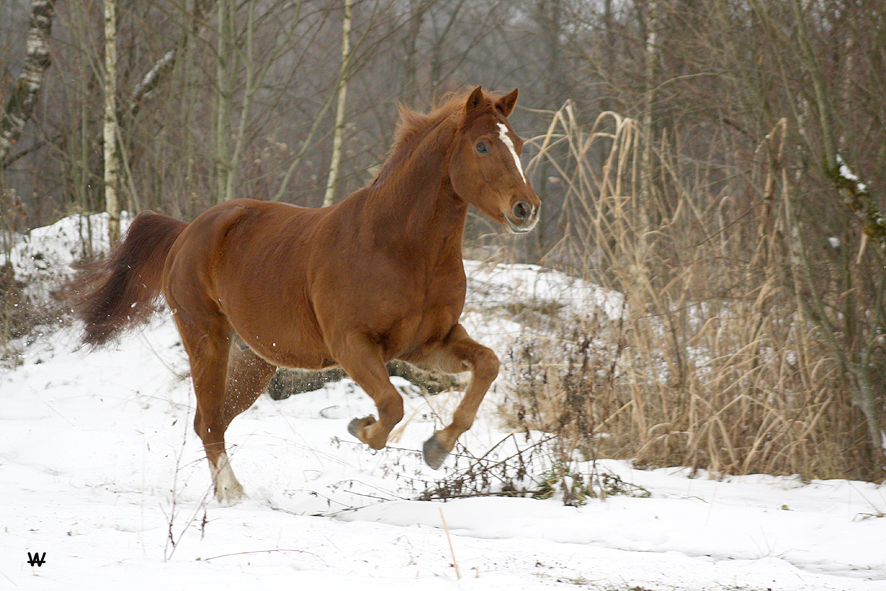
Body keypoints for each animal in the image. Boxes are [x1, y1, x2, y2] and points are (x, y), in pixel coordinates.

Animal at [76, 86, 544, 504]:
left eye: (519, 144)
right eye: (482, 146)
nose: (527, 209)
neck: (401, 247)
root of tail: (187, 231)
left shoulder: (428, 344)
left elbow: (488, 364)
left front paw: (437, 447)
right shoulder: (352, 344)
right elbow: (391, 404)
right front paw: (362, 427)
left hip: (254, 360)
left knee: (210, 419)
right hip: (206, 339)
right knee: (208, 421)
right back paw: (231, 494)